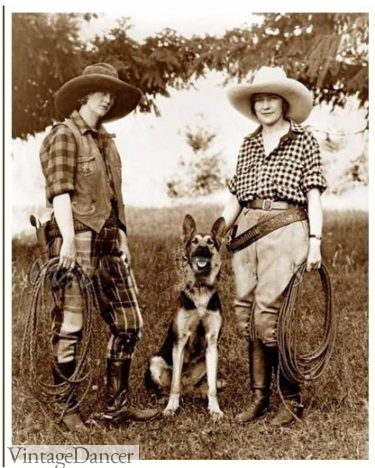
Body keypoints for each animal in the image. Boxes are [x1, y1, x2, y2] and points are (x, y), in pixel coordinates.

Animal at [145, 214, 226, 418]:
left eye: (211, 242)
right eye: (194, 241)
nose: (202, 249)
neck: (200, 288)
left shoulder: (212, 343)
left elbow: (212, 387)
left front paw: (215, 409)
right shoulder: (180, 342)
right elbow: (174, 385)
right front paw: (171, 407)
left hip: (207, 360)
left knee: (202, 385)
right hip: (155, 362)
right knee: (167, 386)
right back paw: (164, 400)